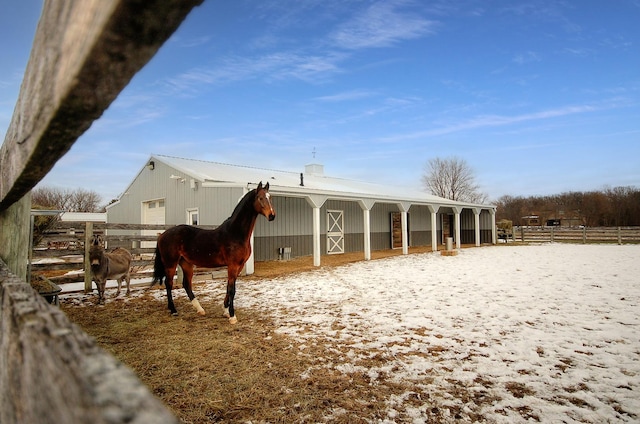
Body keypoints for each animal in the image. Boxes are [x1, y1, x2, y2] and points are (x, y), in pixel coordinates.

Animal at [155, 182, 278, 324]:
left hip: (186, 263)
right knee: (168, 284)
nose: (272, 215)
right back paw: (173, 310)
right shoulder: (233, 265)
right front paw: (232, 316)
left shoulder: (239, 266)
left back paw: (200, 309)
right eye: (260, 198)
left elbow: (228, 288)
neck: (235, 233)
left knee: (186, 284)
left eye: (270, 197)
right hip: (170, 264)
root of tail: (162, 235)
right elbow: (232, 290)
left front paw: (225, 311)